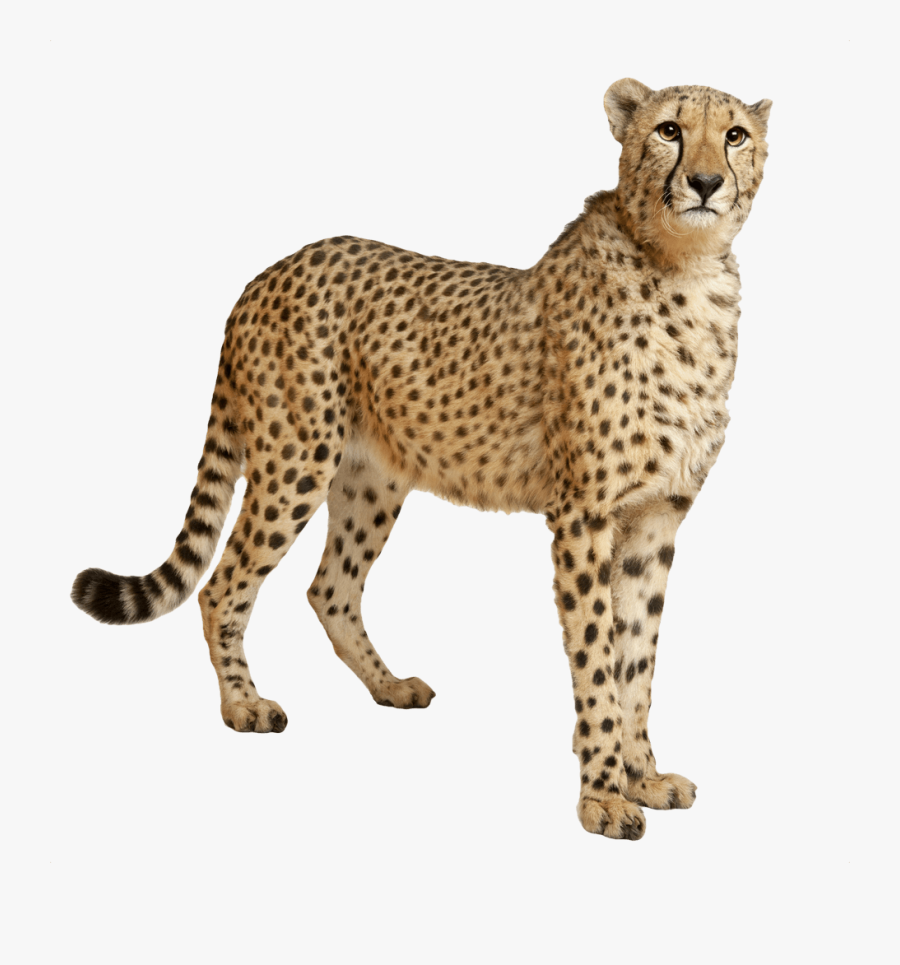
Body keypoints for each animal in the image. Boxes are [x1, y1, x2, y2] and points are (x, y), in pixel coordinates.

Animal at [72, 78, 771, 839]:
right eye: (669, 130)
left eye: (734, 135)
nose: (705, 182)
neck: (684, 269)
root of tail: (269, 271)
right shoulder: (583, 516)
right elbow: (596, 656)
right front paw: (604, 796)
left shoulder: (655, 518)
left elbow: (636, 657)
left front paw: (643, 776)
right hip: (295, 460)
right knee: (222, 584)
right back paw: (243, 706)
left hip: (370, 479)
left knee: (330, 587)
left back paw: (390, 686)